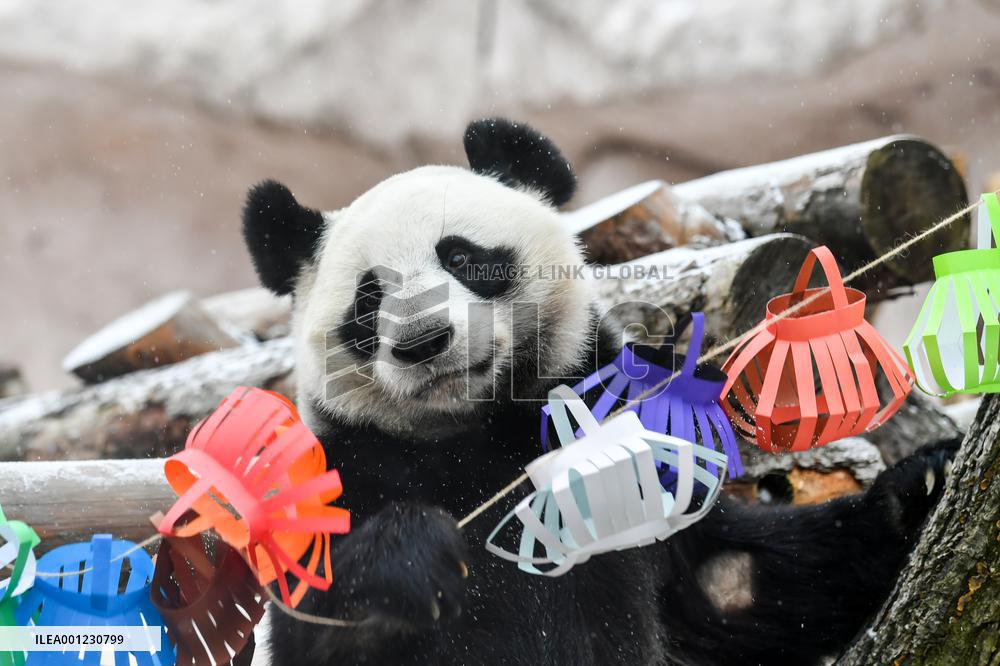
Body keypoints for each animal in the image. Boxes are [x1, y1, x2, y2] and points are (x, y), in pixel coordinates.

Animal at [242, 118, 957, 666]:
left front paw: (919, 486)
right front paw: (414, 560)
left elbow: (736, 583)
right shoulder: (350, 470)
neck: (473, 430)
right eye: (369, 302)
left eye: (463, 257)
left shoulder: (638, 442)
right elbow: (322, 622)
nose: (422, 341)